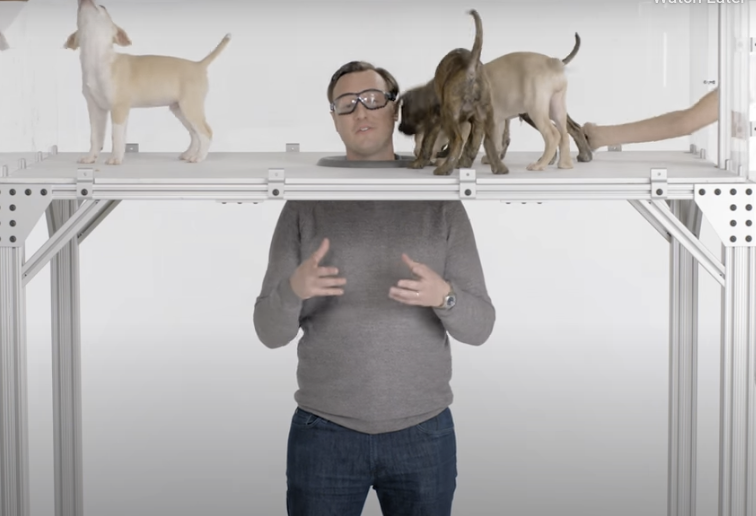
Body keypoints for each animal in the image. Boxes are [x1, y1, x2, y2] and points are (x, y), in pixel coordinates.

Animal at [64, 0, 230, 165]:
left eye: (102, 6)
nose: (84, 0)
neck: (97, 58)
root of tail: (198, 64)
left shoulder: (119, 108)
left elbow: (117, 136)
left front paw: (116, 158)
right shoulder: (95, 109)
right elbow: (95, 136)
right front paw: (91, 157)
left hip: (190, 106)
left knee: (205, 132)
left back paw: (199, 157)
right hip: (180, 109)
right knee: (195, 133)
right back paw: (189, 154)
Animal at [401, 34, 590, 171]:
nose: (416, 153)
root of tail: (554, 61)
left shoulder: (466, 122)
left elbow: (461, 141)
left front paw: (446, 161)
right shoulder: (497, 120)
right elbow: (497, 141)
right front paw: (494, 159)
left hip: (535, 109)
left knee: (553, 135)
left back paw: (540, 165)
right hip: (556, 106)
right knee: (564, 133)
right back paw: (565, 164)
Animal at [407, 9, 506, 175]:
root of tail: (471, 67)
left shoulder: (435, 120)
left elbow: (426, 143)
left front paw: (418, 162)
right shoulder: (474, 122)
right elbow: (471, 144)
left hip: (449, 115)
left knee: (458, 140)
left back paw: (445, 169)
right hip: (487, 117)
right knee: (488, 141)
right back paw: (499, 168)